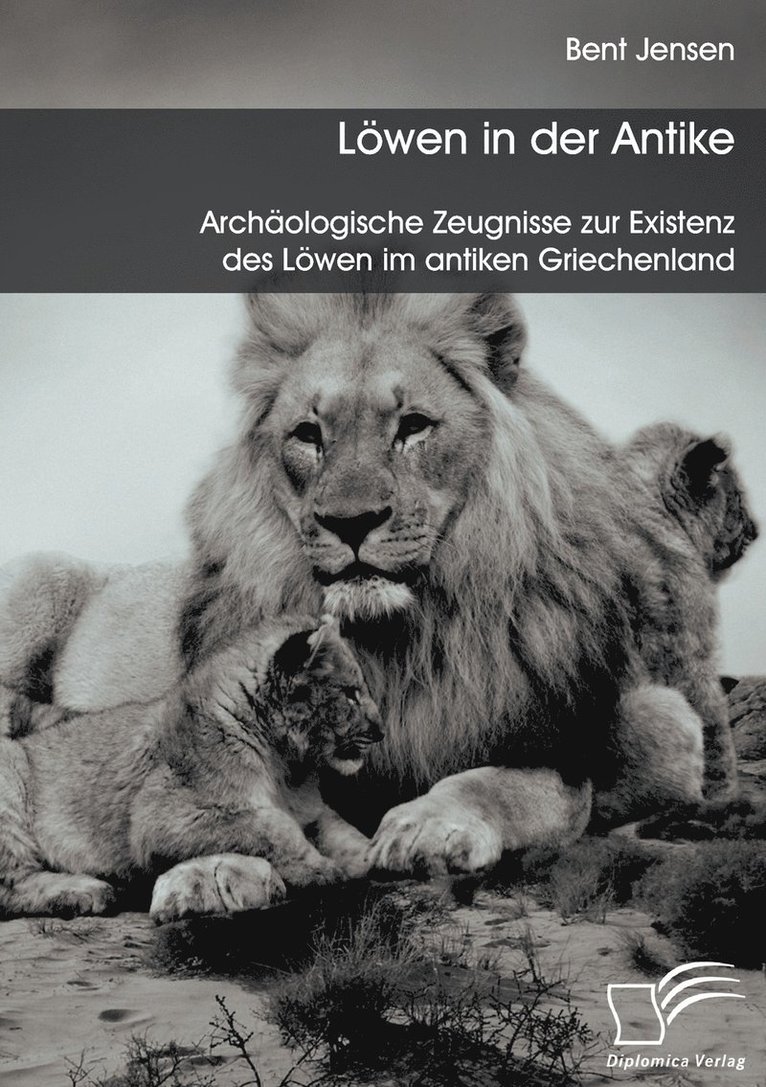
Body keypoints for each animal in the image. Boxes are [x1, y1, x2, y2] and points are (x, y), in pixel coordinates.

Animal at [0, 614, 382, 920]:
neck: (286, 767)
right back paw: (86, 891)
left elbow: (340, 829)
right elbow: (273, 827)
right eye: (351, 694)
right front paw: (318, 868)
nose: (379, 731)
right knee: (9, 886)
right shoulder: (162, 817)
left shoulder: (312, 811)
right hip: (11, 771)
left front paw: (373, 853)